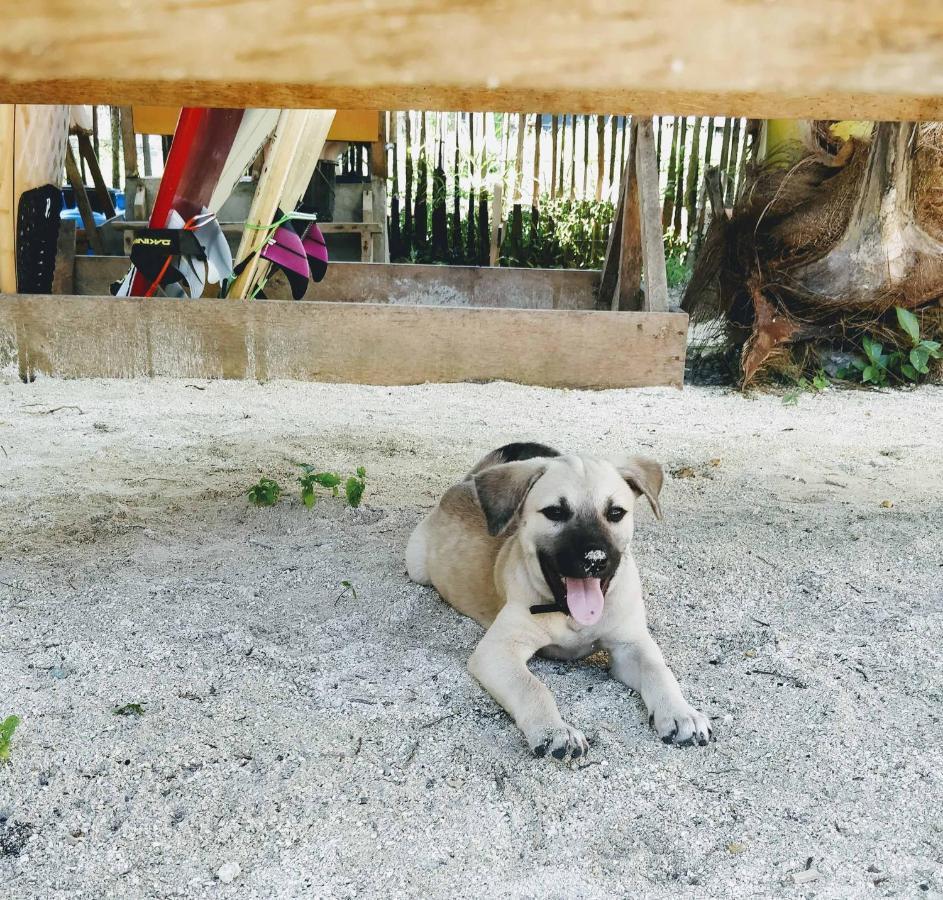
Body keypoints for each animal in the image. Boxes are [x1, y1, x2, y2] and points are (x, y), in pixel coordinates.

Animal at [404, 442, 708, 760]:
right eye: (555, 512)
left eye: (615, 512)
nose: (595, 560)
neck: (570, 617)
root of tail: (462, 485)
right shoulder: (497, 651)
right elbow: (532, 687)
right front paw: (555, 731)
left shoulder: (630, 645)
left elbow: (658, 670)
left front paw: (680, 712)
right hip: (418, 569)